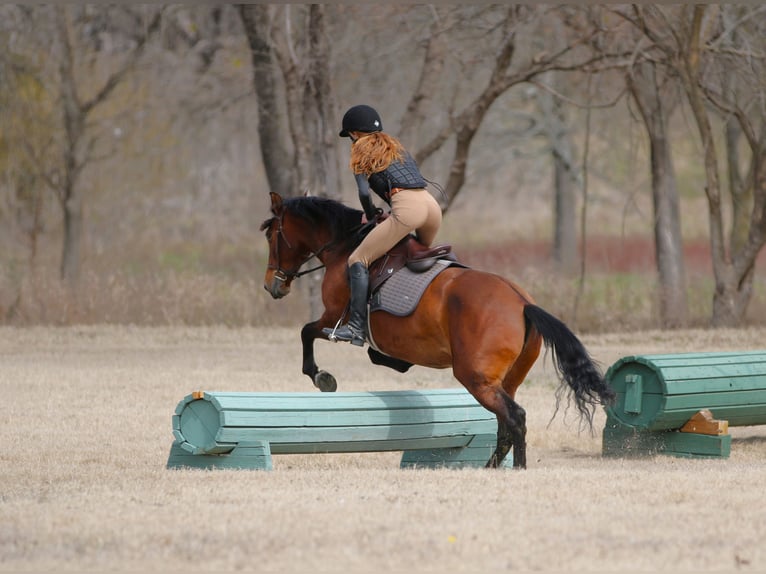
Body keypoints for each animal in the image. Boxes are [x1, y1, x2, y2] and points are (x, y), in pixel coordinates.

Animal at [260, 191, 616, 470]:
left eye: (271, 236)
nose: (272, 287)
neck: (344, 247)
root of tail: (522, 303)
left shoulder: (334, 317)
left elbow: (306, 332)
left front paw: (322, 377)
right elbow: (370, 353)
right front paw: (392, 362)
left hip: (475, 378)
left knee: (515, 419)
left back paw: (516, 469)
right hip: (505, 380)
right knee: (505, 424)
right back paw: (490, 469)